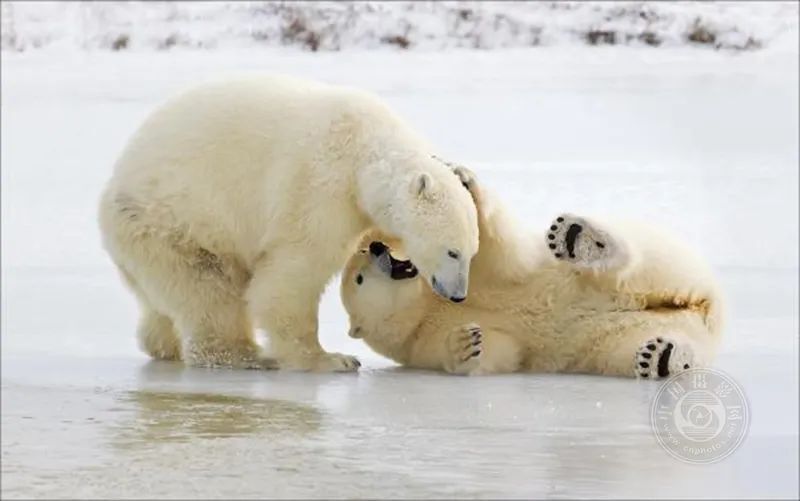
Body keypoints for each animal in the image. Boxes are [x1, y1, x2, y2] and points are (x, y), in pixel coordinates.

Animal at [97, 74, 478, 372]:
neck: (365, 149)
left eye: (470, 253)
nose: (457, 295)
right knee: (210, 288)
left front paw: (465, 174)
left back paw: (162, 344)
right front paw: (332, 359)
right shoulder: (320, 189)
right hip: (173, 223)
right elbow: (296, 272)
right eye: (452, 251)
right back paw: (247, 355)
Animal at [340, 166, 720, 376]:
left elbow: (497, 255)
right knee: (633, 349)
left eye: (362, 253)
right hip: (619, 339)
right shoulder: (420, 344)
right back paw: (662, 357)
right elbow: (496, 351)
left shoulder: (481, 280)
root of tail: (704, 309)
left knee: (639, 264)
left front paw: (463, 180)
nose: (378, 249)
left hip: (663, 263)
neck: (426, 307)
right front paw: (464, 342)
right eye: (359, 278)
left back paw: (580, 238)